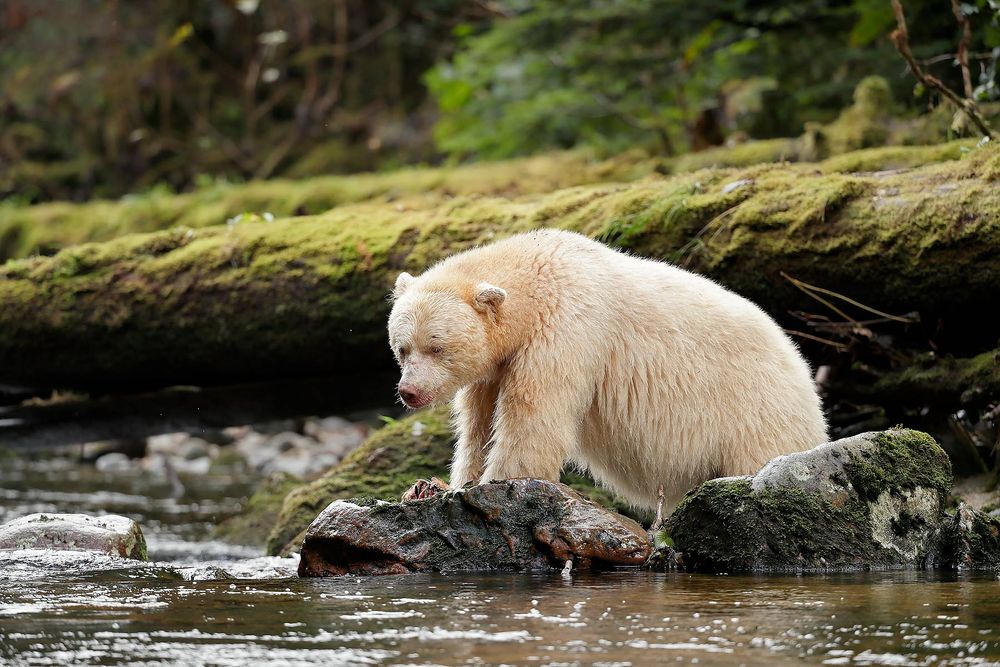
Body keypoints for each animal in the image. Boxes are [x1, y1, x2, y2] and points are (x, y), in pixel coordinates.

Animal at [387, 229, 827, 512]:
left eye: (437, 347)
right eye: (402, 348)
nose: (409, 391)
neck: (539, 275)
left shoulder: (567, 331)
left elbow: (534, 417)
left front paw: (497, 484)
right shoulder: (496, 366)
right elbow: (478, 423)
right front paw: (439, 486)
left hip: (756, 409)